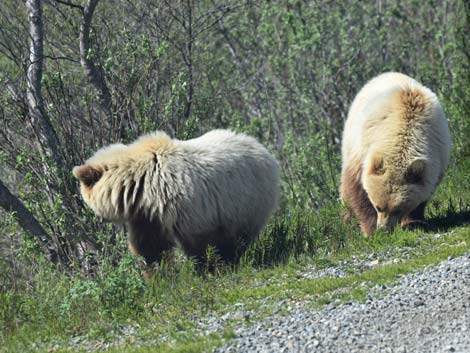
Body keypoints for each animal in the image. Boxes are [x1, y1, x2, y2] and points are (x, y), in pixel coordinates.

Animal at [72, 129, 280, 266]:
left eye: (85, 199)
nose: (97, 219)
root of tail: (262, 148)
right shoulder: (145, 215)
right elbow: (150, 245)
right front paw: (157, 273)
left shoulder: (180, 202)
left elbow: (197, 238)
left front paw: (203, 266)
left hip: (248, 199)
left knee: (239, 233)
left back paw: (232, 257)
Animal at [342, 71, 452, 236]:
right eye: (378, 206)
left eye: (398, 210)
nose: (384, 229)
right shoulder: (361, 150)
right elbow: (357, 189)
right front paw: (370, 230)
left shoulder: (436, 156)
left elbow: (421, 195)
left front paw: (413, 222)